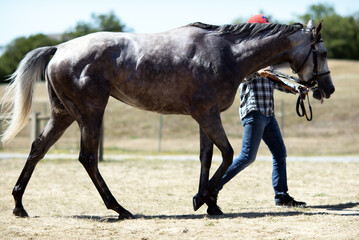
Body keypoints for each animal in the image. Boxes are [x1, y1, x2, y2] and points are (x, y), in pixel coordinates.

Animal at [1, 20, 336, 219]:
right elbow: (228, 154)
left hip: (64, 114)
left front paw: (209, 202)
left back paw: (19, 205)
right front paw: (203, 198)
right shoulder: (207, 115)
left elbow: (207, 157)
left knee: (37, 149)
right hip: (90, 114)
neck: (226, 53)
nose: (328, 89)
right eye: (322, 52)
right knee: (87, 158)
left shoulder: (205, 116)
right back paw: (120, 209)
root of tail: (59, 48)